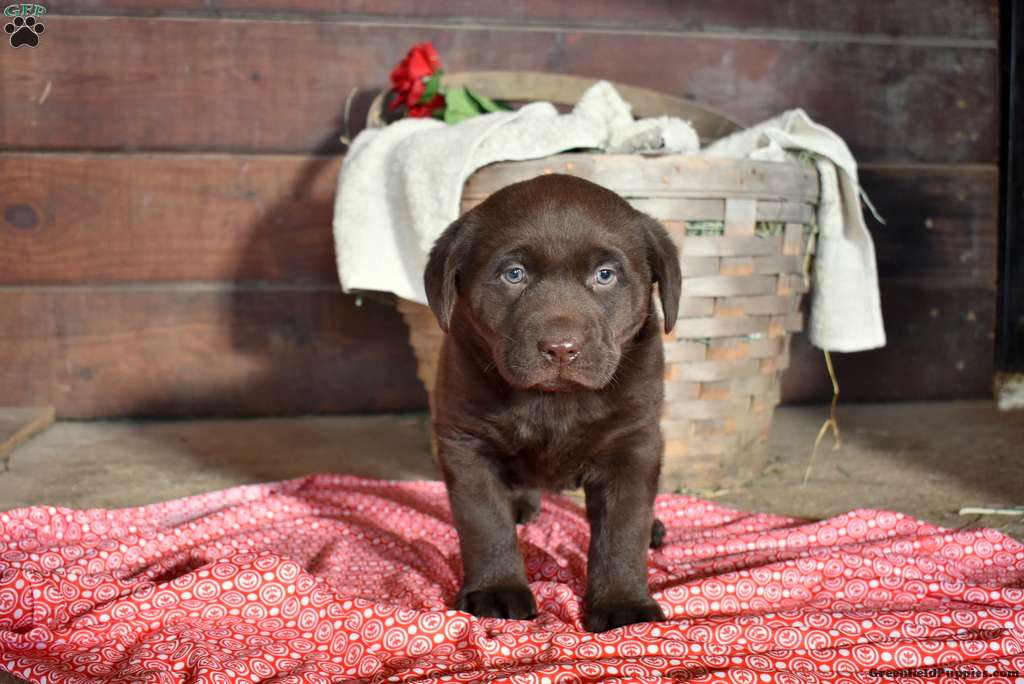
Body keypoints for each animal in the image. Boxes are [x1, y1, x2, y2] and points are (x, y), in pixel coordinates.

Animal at [423, 173, 682, 632]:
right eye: (514, 274)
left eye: (604, 275)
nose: (561, 348)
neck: (555, 400)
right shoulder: (465, 442)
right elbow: (484, 522)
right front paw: (496, 589)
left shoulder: (633, 443)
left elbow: (623, 529)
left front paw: (623, 603)